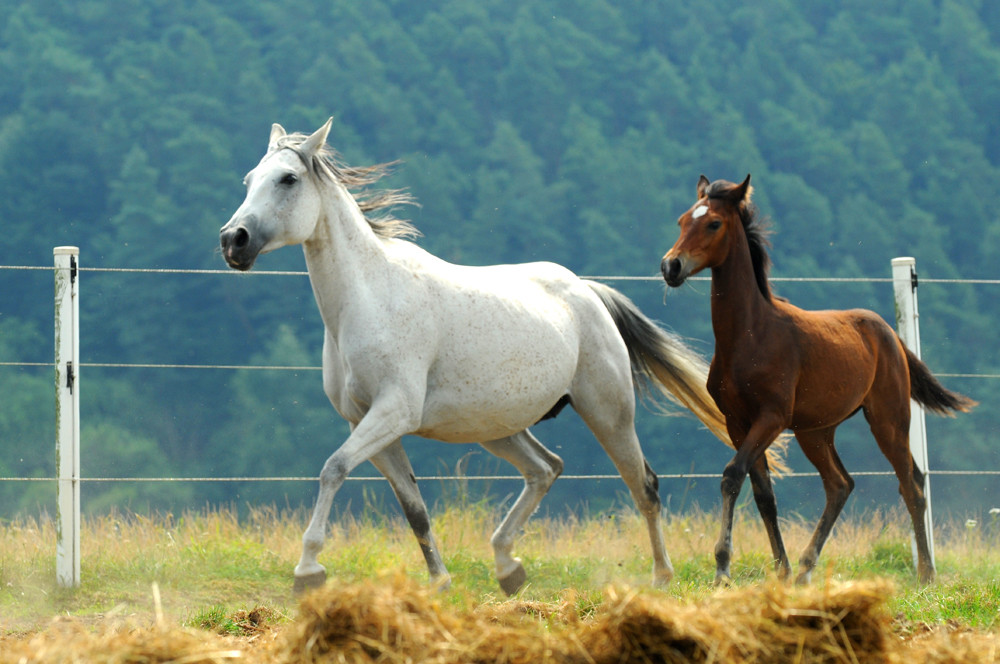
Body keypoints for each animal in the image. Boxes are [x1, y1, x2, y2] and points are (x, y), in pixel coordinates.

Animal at [221, 116, 756, 592]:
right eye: (248, 180)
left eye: (288, 179)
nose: (233, 240)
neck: (369, 297)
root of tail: (587, 291)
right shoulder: (368, 423)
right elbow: (413, 507)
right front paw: (439, 582)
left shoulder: (393, 412)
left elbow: (332, 469)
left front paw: (308, 570)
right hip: (498, 427)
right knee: (546, 469)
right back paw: (507, 566)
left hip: (608, 412)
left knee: (643, 485)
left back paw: (662, 577)